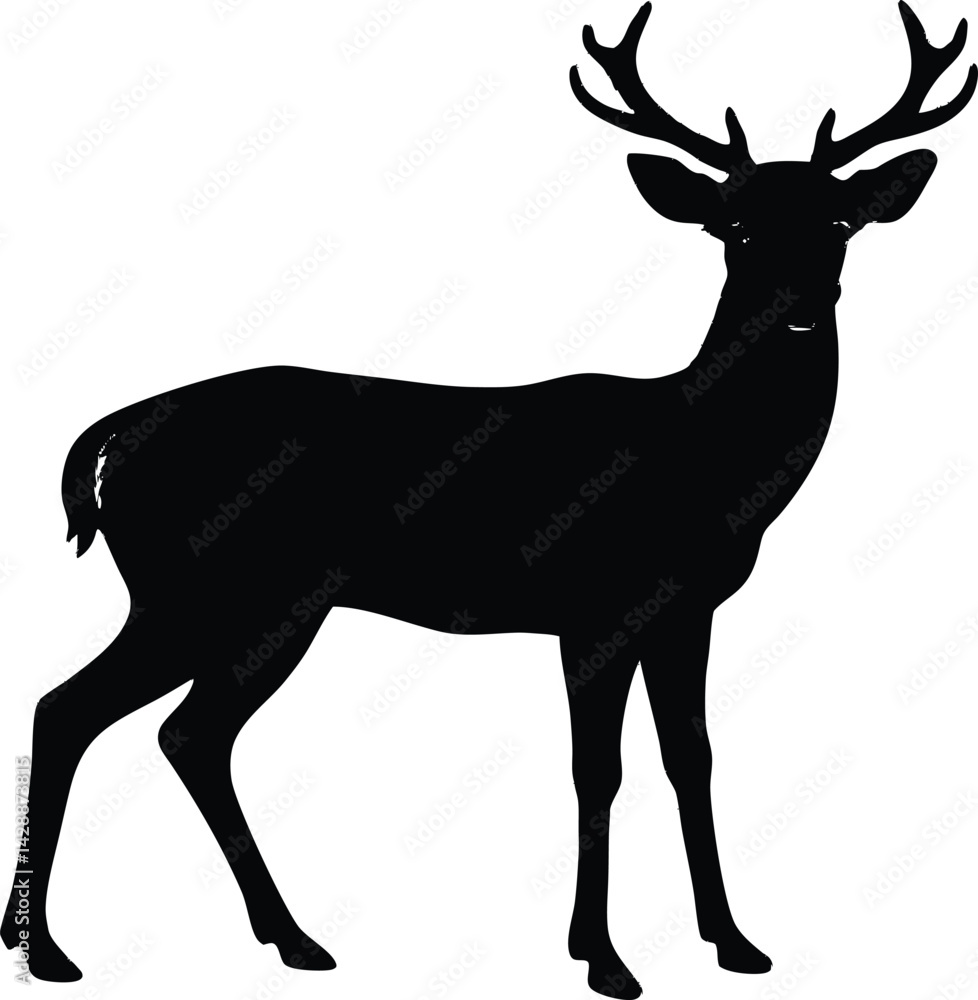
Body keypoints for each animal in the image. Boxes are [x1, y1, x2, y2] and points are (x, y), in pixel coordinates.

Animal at [2, 2, 974, 996]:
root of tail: (110, 433)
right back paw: (60, 949)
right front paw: (604, 959)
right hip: (211, 591)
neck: (702, 461)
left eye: (842, 217)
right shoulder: (596, 605)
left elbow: (691, 759)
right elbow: (598, 769)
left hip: (240, 602)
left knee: (163, 729)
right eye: (734, 226)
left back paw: (269, 938)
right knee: (94, 713)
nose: (802, 300)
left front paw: (734, 943)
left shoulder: (686, 611)